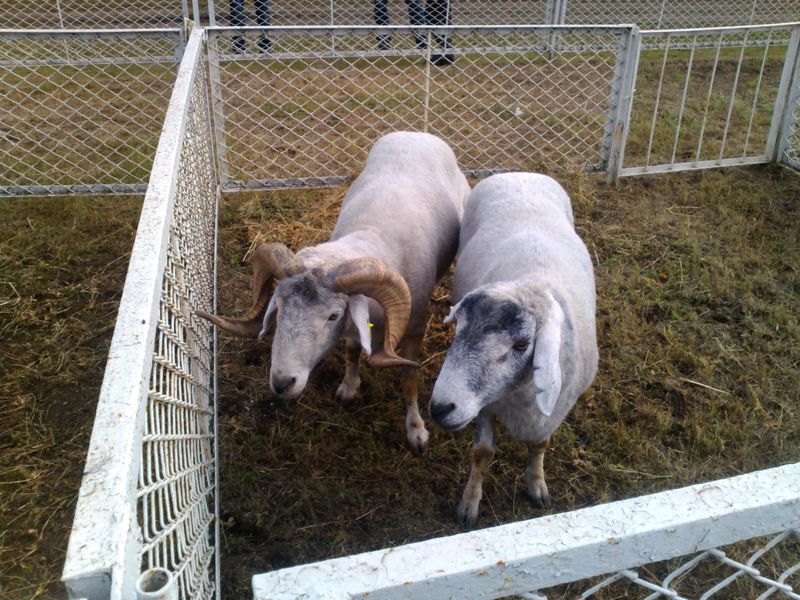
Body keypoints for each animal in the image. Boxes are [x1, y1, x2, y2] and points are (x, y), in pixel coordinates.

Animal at [199, 130, 468, 450]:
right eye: (278, 308)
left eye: (332, 316)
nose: (282, 383)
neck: (371, 233)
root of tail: (416, 134)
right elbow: (352, 350)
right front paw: (349, 387)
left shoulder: (414, 327)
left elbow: (408, 378)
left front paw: (415, 429)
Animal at [432, 172, 592, 524]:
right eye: (458, 329)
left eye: (521, 344)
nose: (439, 408)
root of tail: (520, 173)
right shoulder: (486, 405)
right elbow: (482, 453)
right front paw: (469, 504)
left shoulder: (552, 412)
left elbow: (540, 445)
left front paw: (537, 484)